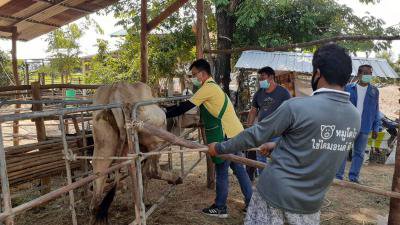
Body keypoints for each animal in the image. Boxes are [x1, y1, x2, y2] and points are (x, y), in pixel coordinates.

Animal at [90, 81, 181, 224]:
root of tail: (117, 88)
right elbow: (145, 175)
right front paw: (147, 201)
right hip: (155, 143)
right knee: (153, 171)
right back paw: (175, 179)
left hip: (104, 144)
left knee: (99, 180)